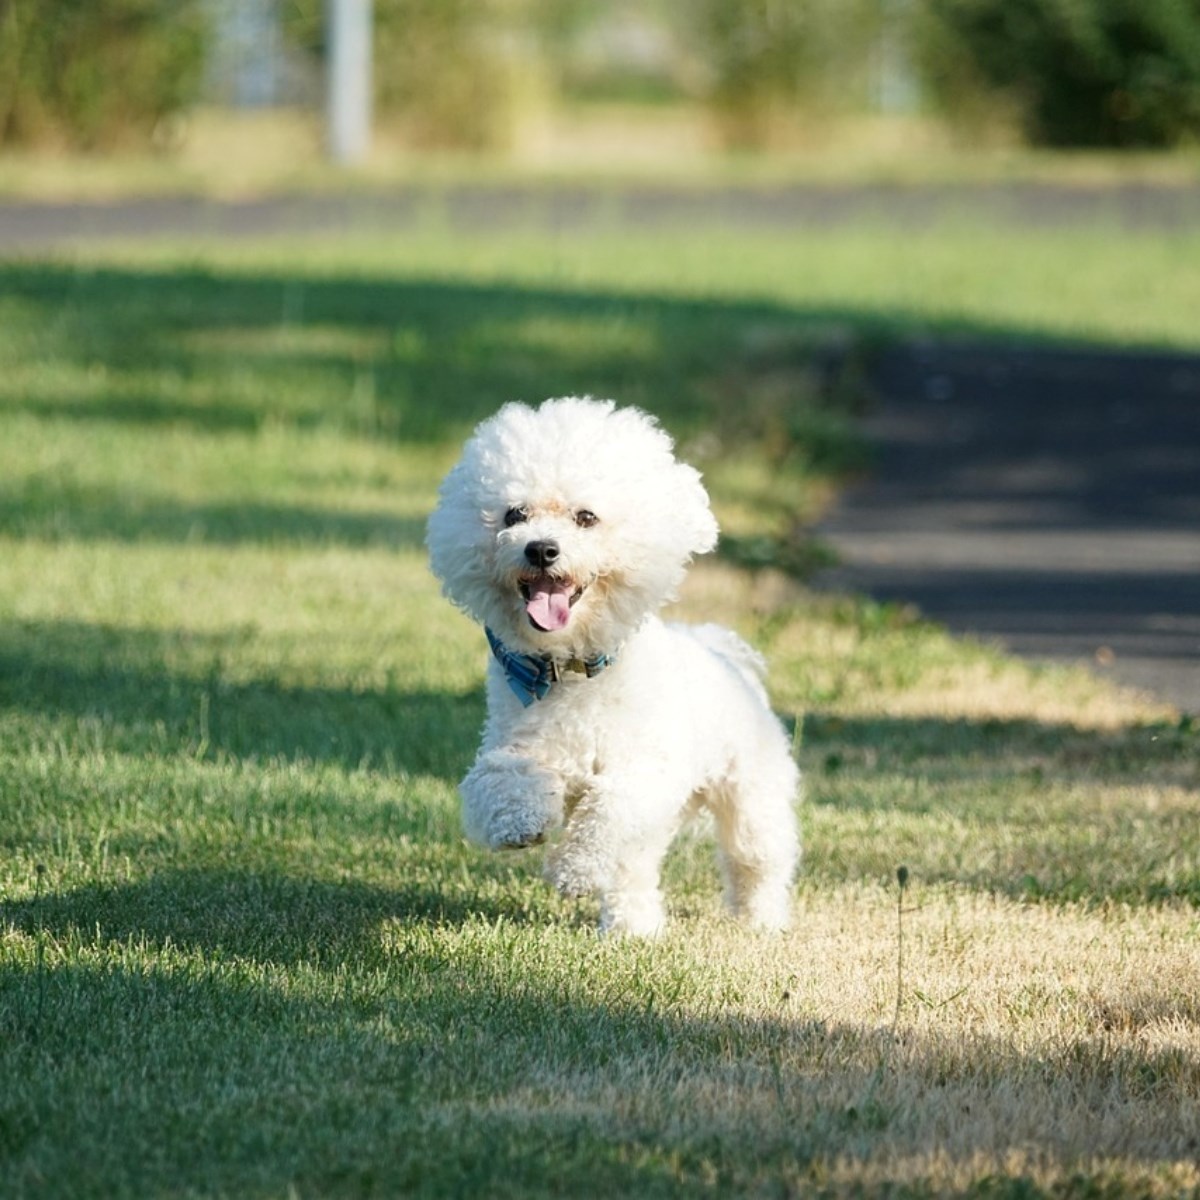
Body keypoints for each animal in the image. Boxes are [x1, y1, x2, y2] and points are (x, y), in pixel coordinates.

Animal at [427, 398, 801, 931]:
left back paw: (760, 920)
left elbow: (608, 812)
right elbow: (499, 779)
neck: (571, 671)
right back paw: (634, 929)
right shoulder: (517, 744)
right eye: (514, 514)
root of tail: (722, 652)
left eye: (586, 517)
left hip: (751, 792)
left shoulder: (646, 772)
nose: (541, 548)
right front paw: (521, 823)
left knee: (756, 858)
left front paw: (574, 869)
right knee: (636, 872)